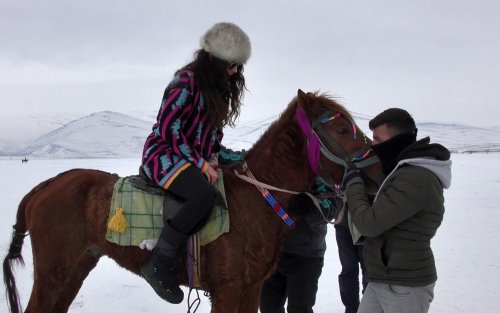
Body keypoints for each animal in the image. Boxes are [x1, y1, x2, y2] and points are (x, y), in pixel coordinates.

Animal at [2, 89, 382, 312]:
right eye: (342, 130)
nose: (378, 172)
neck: (256, 201)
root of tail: (44, 186)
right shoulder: (227, 289)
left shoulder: (251, 289)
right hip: (55, 272)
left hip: (74, 268)